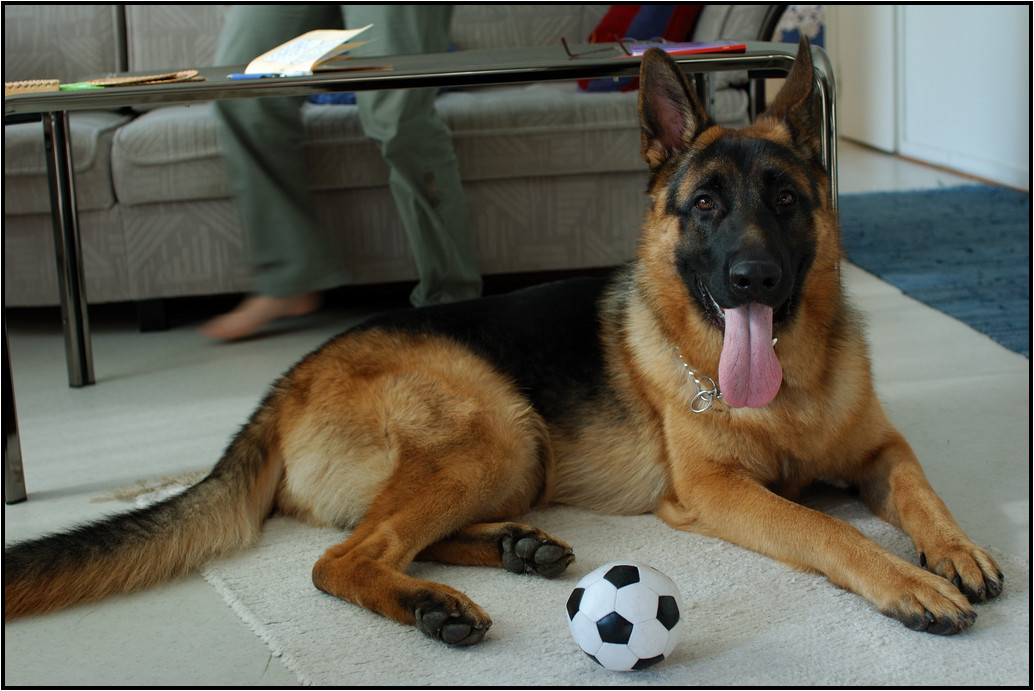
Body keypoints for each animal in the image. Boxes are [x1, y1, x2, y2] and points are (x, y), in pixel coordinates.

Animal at [5, 41, 1002, 644]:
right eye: (707, 205)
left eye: (788, 201)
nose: (752, 278)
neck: (788, 384)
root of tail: (289, 380)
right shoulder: (720, 493)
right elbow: (820, 527)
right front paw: (903, 579)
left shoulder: (880, 448)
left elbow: (920, 487)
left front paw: (956, 548)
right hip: (497, 429)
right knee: (344, 558)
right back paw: (433, 605)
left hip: (510, 456)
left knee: (387, 537)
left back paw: (514, 550)